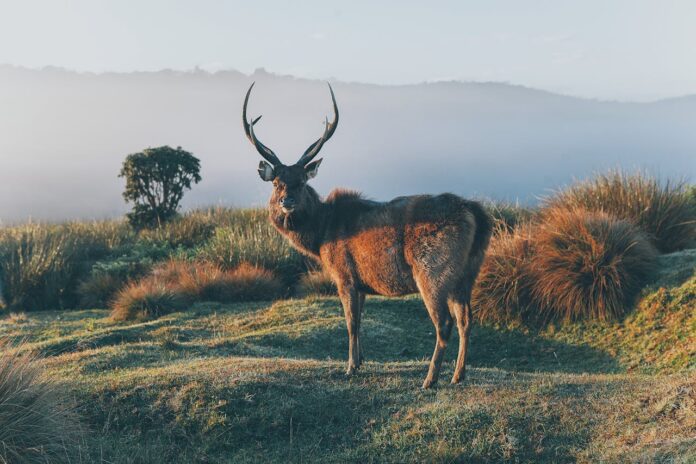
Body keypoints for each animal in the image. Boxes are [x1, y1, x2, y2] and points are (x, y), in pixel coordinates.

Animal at [242, 82, 492, 388]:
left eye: (301, 182)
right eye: (277, 182)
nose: (286, 201)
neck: (321, 236)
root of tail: (476, 214)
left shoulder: (344, 274)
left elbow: (350, 322)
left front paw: (349, 367)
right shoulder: (362, 283)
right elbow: (360, 321)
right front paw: (360, 361)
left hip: (433, 270)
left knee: (444, 322)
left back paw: (430, 379)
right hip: (468, 272)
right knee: (466, 319)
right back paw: (458, 374)